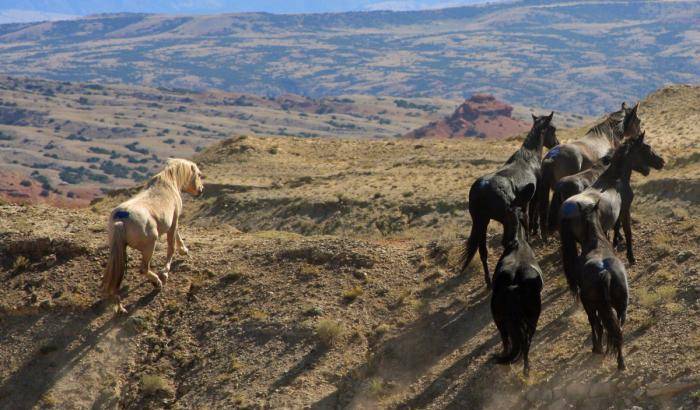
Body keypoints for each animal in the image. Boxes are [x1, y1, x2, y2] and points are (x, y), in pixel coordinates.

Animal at [102, 158, 205, 313]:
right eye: (198, 174)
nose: (201, 189)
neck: (169, 184)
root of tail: (120, 220)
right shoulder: (174, 220)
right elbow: (171, 245)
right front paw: (165, 272)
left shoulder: (173, 222)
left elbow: (176, 236)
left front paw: (184, 250)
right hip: (150, 246)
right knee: (144, 268)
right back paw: (157, 282)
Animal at [459, 113, 558, 288]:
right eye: (552, 129)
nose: (556, 143)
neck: (529, 158)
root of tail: (481, 190)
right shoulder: (534, 197)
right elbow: (533, 215)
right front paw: (535, 233)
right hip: (502, 219)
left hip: (481, 221)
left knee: (483, 251)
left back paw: (489, 282)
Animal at [491, 206, 543, 377]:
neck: (518, 243)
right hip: (531, 318)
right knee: (525, 341)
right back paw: (526, 369)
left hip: (501, 320)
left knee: (509, 340)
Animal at [558, 132, 664, 294]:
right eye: (646, 148)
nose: (661, 162)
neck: (615, 180)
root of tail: (567, 210)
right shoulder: (625, 210)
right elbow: (627, 232)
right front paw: (631, 257)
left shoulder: (616, 214)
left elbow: (616, 227)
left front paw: (616, 243)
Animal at [577, 200, 628, 370]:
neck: (597, 242)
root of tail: (605, 272)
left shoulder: (589, 304)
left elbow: (595, 324)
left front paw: (597, 347)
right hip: (621, 306)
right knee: (618, 330)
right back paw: (621, 362)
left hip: (593, 304)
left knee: (598, 324)